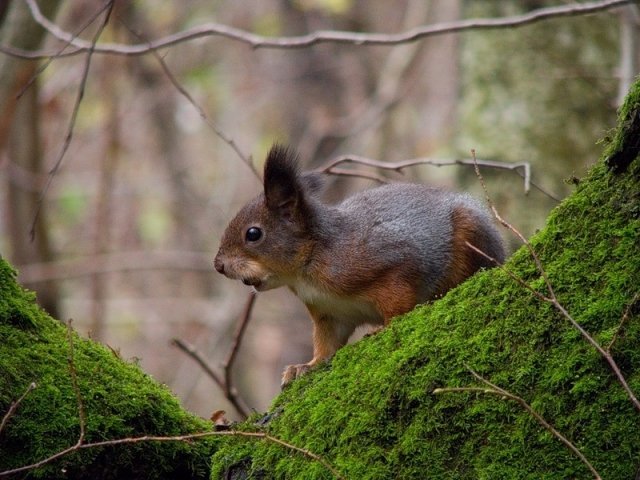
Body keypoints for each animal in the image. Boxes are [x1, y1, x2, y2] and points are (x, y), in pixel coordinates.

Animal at [215, 142, 504, 386]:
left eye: (253, 234)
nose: (218, 266)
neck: (308, 266)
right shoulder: (330, 313)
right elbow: (327, 343)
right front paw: (305, 366)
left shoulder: (389, 265)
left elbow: (399, 305)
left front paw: (381, 328)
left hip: (470, 236)